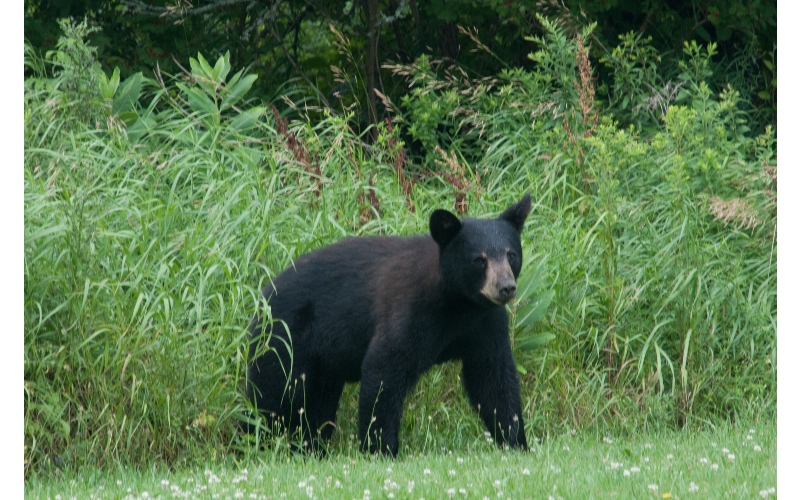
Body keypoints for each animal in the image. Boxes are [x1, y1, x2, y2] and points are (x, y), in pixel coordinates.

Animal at [245, 194, 531, 456]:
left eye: (511, 255)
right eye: (479, 260)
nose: (506, 287)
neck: (459, 303)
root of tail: (264, 294)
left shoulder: (485, 322)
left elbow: (492, 376)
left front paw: (515, 440)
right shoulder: (409, 310)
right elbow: (384, 368)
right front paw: (380, 449)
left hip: (324, 366)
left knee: (316, 406)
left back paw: (310, 448)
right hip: (284, 339)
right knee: (271, 396)